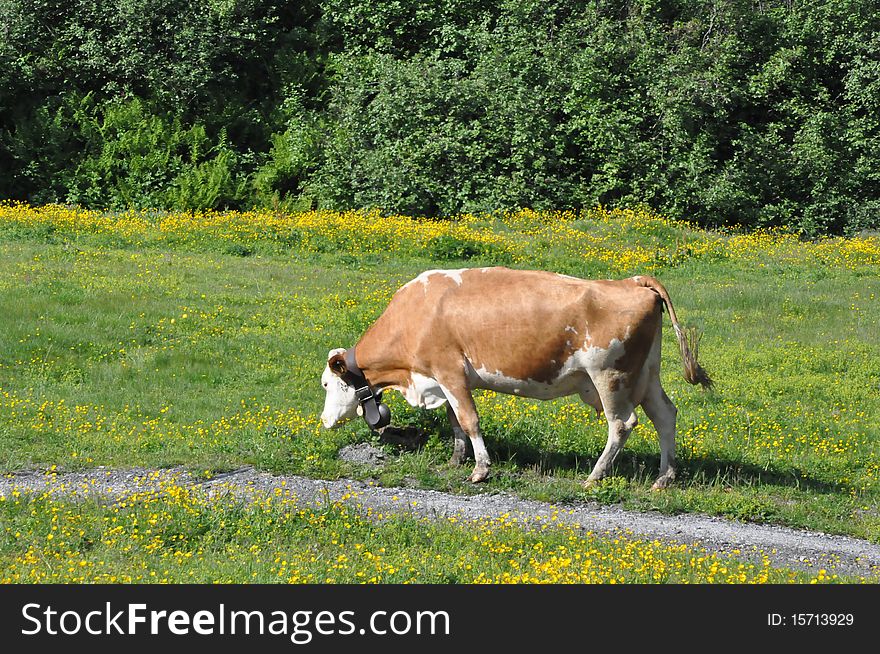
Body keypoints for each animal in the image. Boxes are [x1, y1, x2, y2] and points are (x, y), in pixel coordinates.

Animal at [320, 268, 712, 492]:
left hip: (610, 376)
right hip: (646, 374)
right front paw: (456, 459)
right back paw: (664, 477)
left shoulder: (450, 371)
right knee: (665, 416)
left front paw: (480, 470)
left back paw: (595, 476)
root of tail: (633, 281)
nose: (323, 421)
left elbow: (469, 420)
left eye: (325, 384)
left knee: (622, 424)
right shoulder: (443, 379)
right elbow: (454, 421)